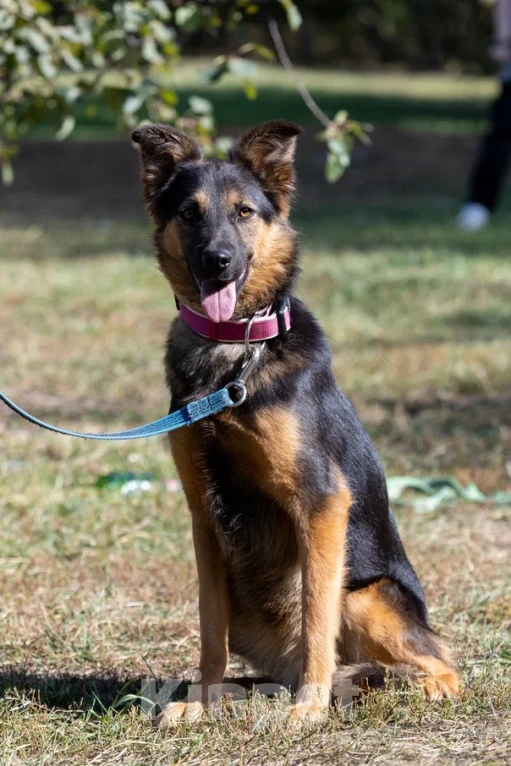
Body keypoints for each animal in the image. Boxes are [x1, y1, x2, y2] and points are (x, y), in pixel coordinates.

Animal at [132, 121, 460, 732]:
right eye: (189, 213)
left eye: (243, 212)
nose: (217, 262)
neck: (235, 355)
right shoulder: (203, 519)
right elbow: (209, 627)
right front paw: (200, 697)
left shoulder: (321, 500)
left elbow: (315, 617)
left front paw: (310, 704)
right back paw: (237, 693)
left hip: (366, 595)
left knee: (438, 658)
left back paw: (417, 685)